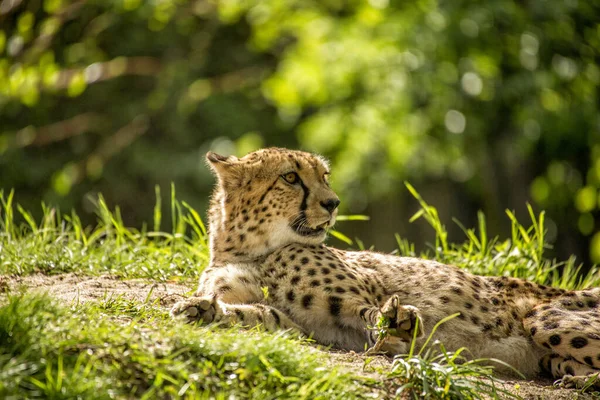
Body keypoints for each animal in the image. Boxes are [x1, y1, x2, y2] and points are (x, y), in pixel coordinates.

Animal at [171, 147, 600, 388]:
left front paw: (399, 324)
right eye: (290, 177)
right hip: (550, 352)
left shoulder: (363, 295)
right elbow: (252, 314)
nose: (333, 203)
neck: (250, 250)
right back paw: (578, 382)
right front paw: (200, 310)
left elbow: (372, 311)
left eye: (323, 176)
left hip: (543, 317)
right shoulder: (294, 323)